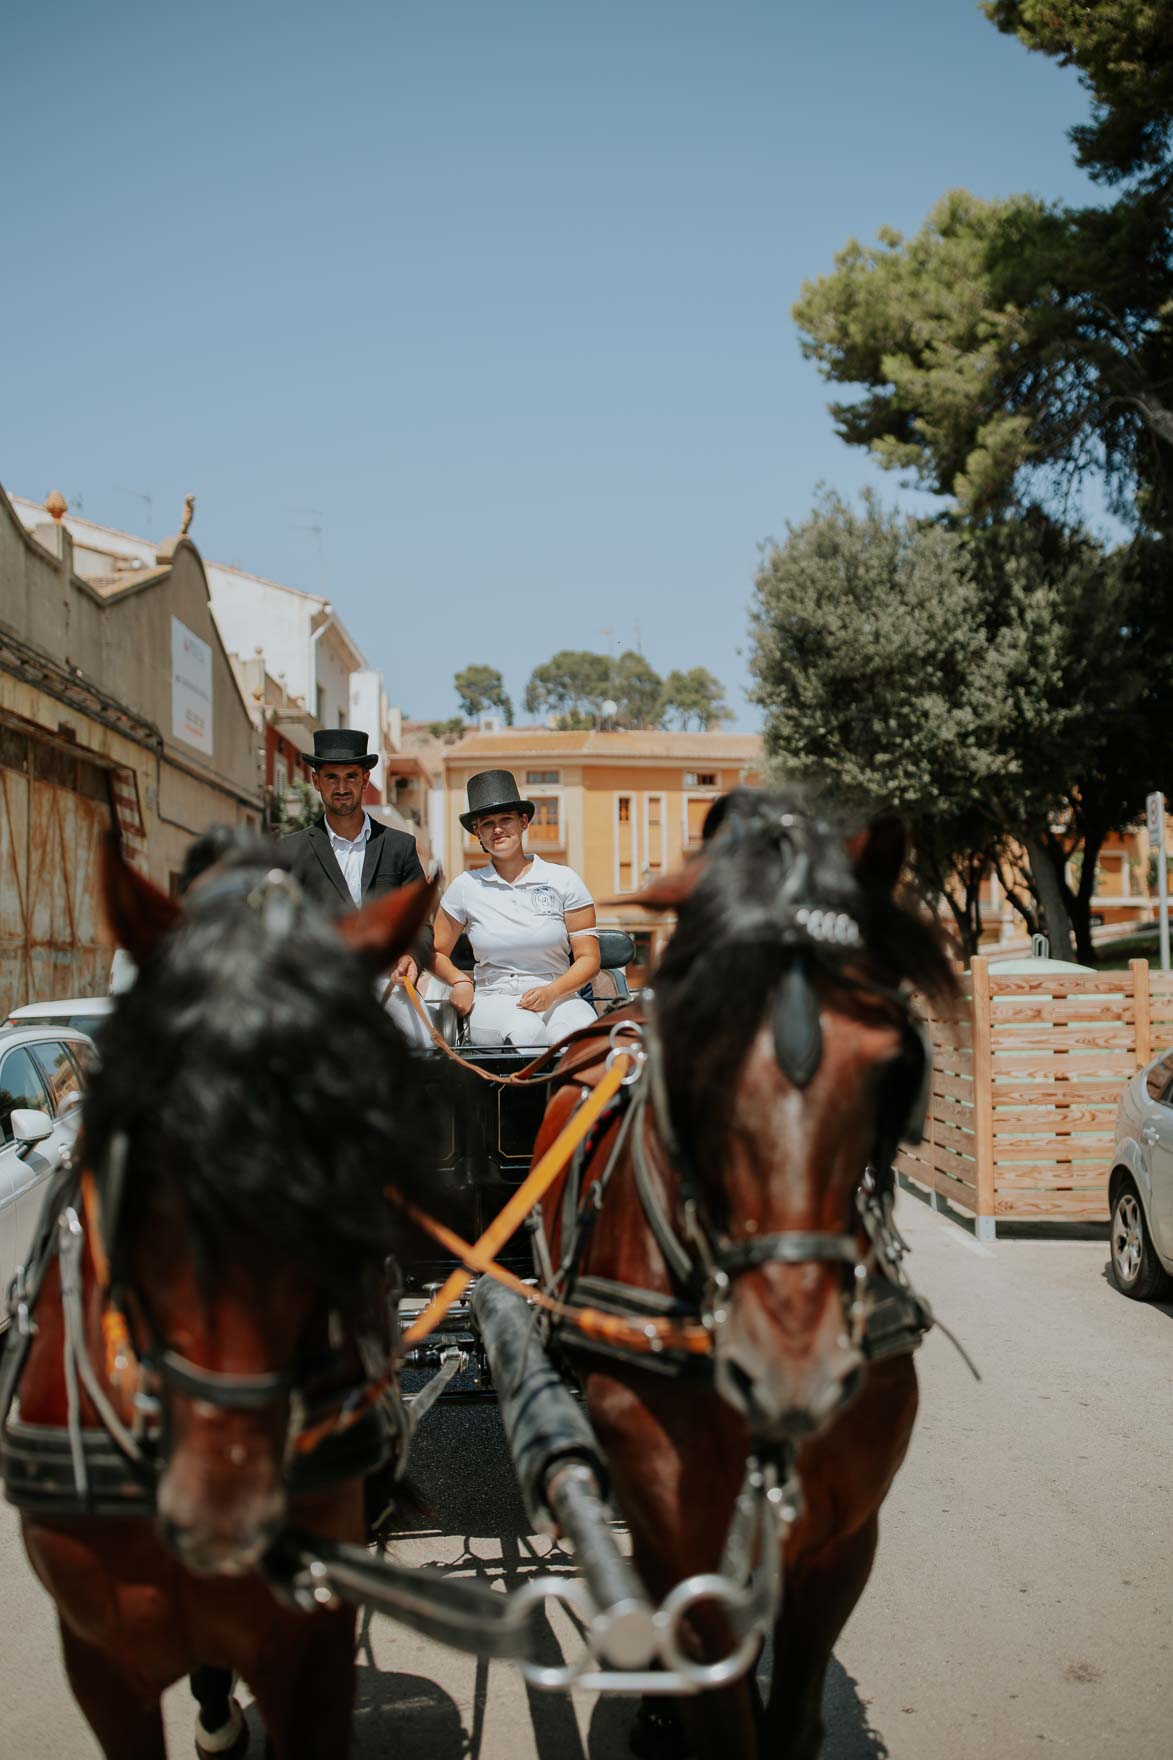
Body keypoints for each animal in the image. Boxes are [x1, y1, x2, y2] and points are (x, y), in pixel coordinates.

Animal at [535, 799, 958, 1760]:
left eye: (891, 1061)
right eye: (694, 1048)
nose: (791, 1372)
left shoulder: (843, 1541)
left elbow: (792, 1718)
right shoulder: (679, 1537)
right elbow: (722, 1719)